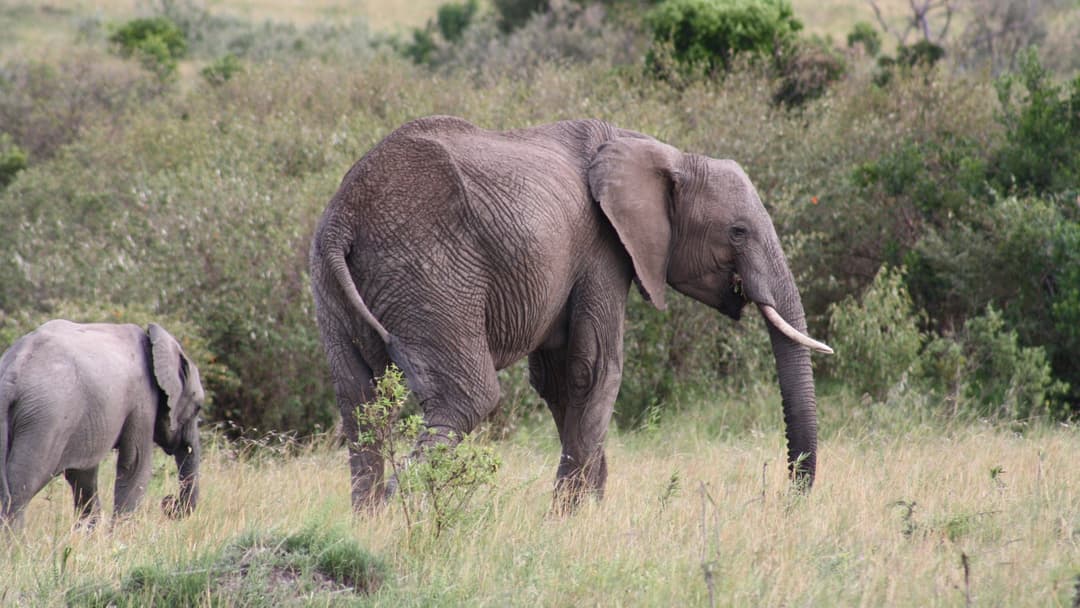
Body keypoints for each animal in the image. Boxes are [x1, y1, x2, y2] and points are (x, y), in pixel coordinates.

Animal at [0, 320, 203, 528]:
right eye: (198, 408)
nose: (169, 502)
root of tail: (11, 375)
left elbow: (82, 474)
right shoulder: (143, 400)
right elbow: (135, 466)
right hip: (46, 419)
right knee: (22, 487)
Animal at [309, 115, 832, 511]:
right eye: (739, 231)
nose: (789, 502)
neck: (661, 153)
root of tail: (343, 218)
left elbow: (560, 382)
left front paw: (583, 512)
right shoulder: (603, 247)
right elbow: (594, 370)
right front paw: (568, 520)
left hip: (331, 284)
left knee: (359, 401)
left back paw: (367, 524)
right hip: (430, 273)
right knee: (466, 398)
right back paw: (397, 521)